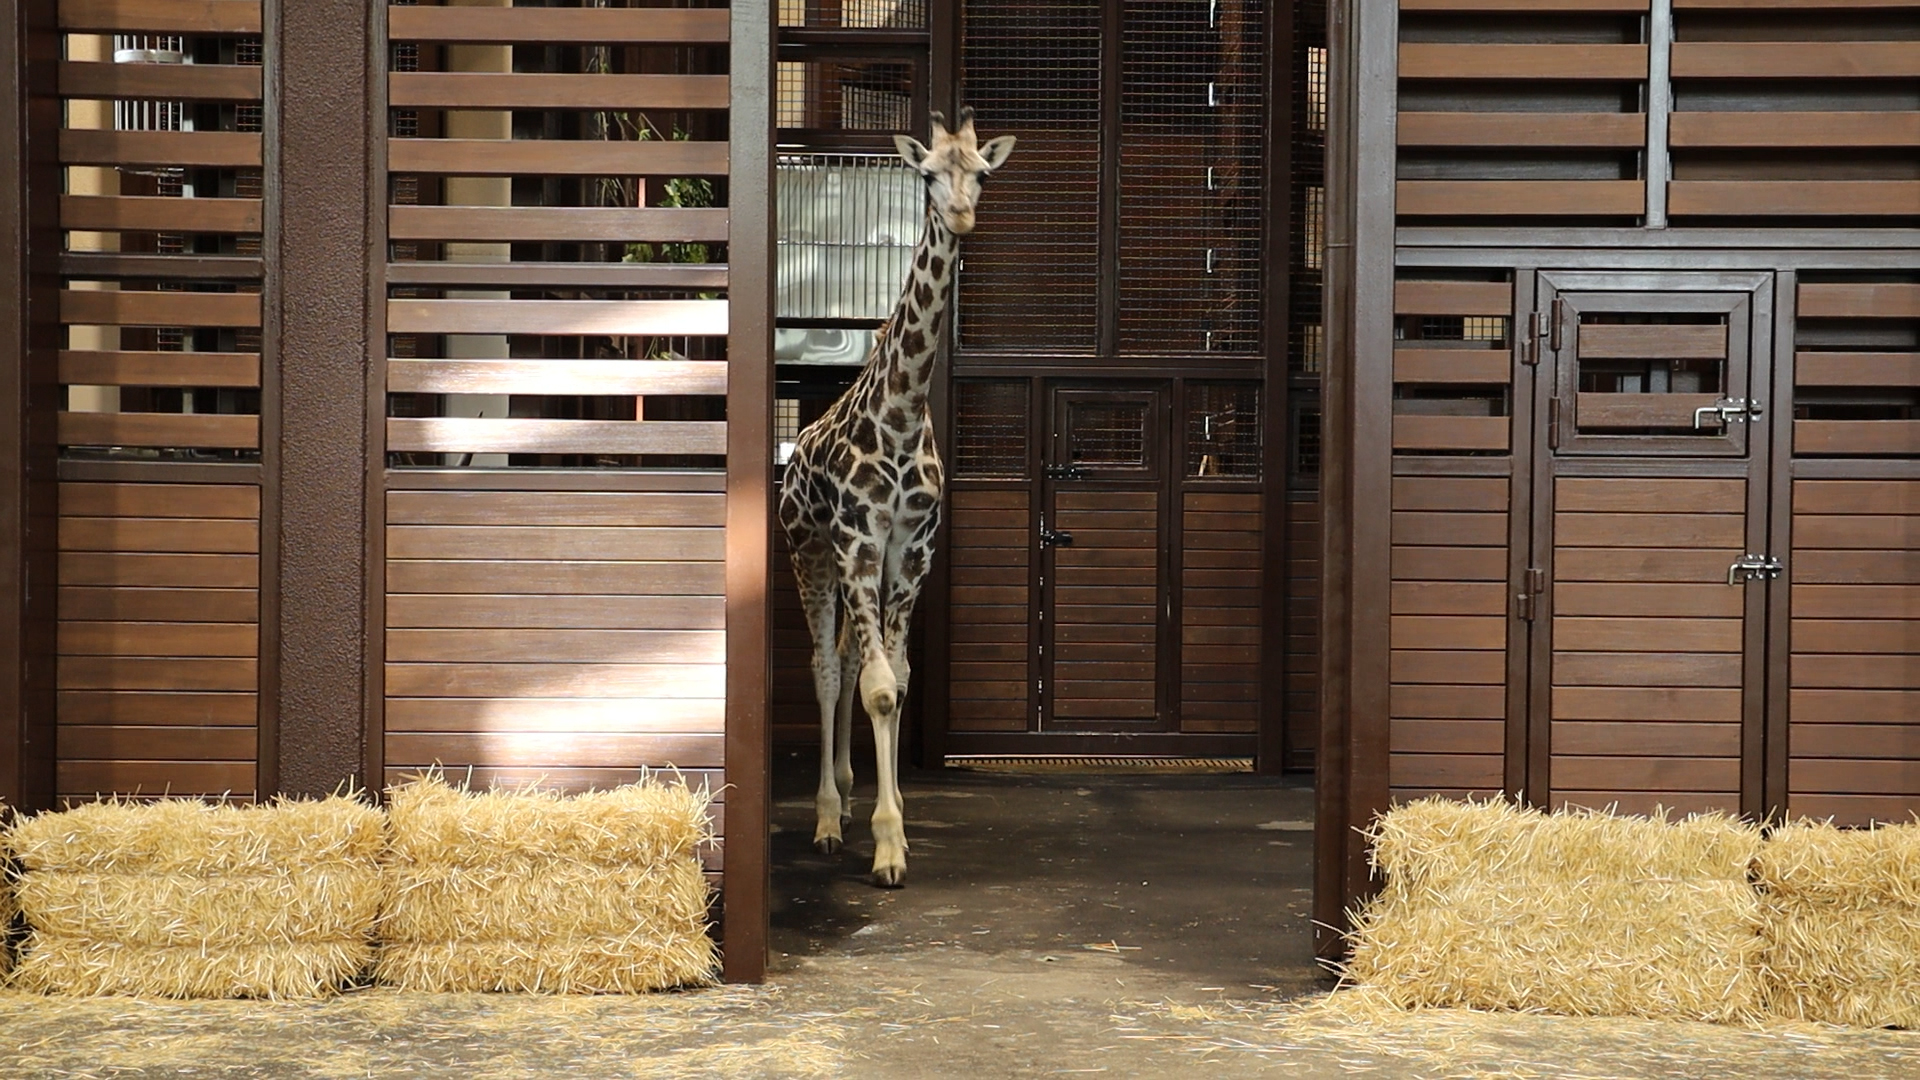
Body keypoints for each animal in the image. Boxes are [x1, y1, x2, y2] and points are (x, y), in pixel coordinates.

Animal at [778, 108, 1015, 887]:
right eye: (929, 174)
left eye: (982, 173)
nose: (962, 214)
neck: (904, 414)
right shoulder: (856, 540)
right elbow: (879, 687)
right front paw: (886, 847)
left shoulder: (911, 550)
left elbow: (899, 680)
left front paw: (895, 816)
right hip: (811, 553)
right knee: (826, 666)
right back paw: (827, 816)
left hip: (861, 565)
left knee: (853, 656)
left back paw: (853, 793)